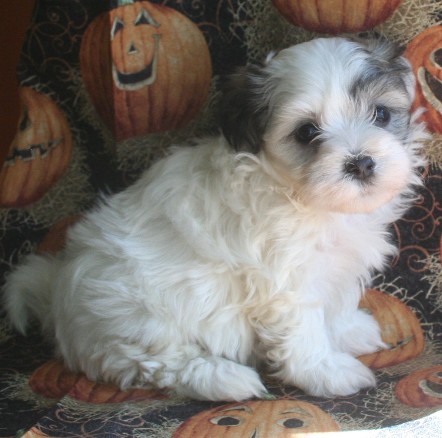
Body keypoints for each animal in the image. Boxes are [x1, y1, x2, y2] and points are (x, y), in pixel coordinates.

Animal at [1, 36, 426, 400]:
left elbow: (333, 304)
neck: (301, 196)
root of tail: (56, 292)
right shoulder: (286, 280)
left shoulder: (334, 266)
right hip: (136, 319)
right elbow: (304, 327)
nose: (361, 162)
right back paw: (225, 379)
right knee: (156, 362)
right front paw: (327, 372)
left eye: (381, 114)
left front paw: (350, 330)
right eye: (307, 132)